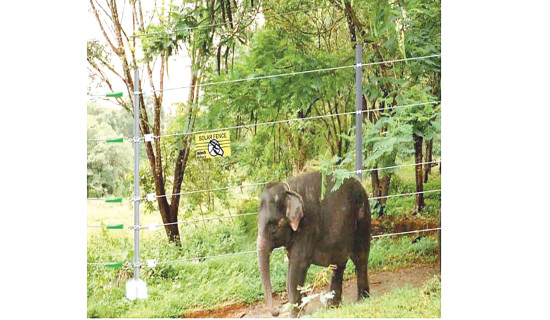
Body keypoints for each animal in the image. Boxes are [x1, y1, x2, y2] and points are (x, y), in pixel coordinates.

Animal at [258, 171, 370, 316]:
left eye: (274, 226)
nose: (277, 311)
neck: (288, 189)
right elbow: (291, 267)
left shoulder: (307, 226)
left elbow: (297, 266)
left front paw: (295, 315)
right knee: (338, 264)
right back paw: (332, 306)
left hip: (363, 216)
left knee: (360, 257)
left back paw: (362, 300)